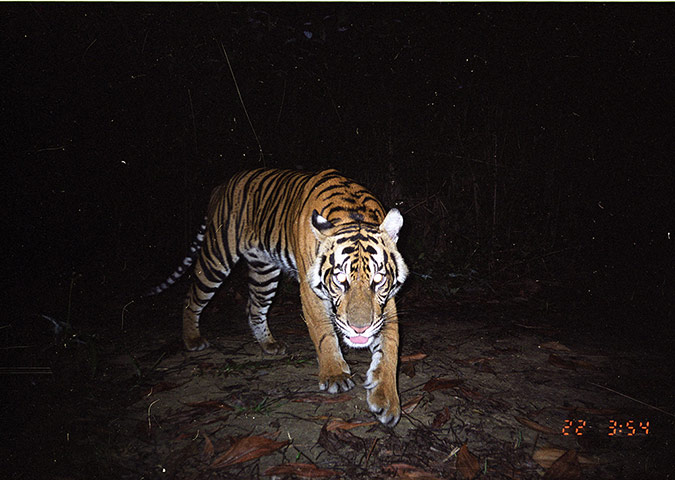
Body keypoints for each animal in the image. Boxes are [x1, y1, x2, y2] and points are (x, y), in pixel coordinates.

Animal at [147, 168, 408, 426]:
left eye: (378, 279)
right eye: (340, 278)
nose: (359, 329)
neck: (354, 215)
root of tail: (221, 186)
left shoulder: (386, 303)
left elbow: (390, 346)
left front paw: (386, 400)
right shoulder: (310, 292)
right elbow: (324, 334)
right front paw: (335, 375)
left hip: (264, 273)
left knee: (254, 309)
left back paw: (269, 344)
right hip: (216, 257)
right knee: (191, 299)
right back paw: (192, 339)